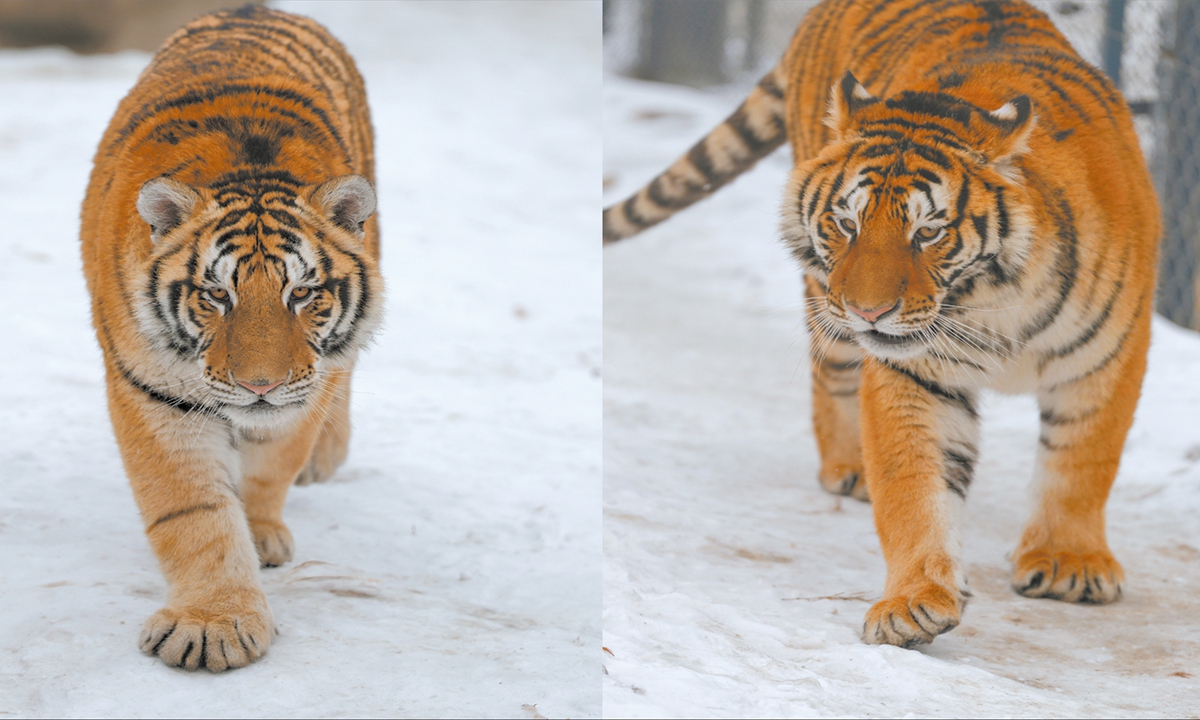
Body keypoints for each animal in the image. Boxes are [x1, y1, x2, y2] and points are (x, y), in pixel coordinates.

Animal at [80, 5, 382, 671]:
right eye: (217, 295)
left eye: (303, 294)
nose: (260, 386)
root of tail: (259, 8)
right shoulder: (153, 393)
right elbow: (193, 511)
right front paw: (212, 623)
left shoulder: (303, 390)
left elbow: (274, 462)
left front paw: (262, 531)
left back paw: (324, 458)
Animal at [604, 0, 1159, 647]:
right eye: (847, 223)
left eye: (929, 232)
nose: (868, 311)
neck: (994, 302)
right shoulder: (915, 374)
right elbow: (913, 486)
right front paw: (913, 602)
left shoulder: (1108, 354)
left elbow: (1083, 461)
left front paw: (1070, 564)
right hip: (825, 303)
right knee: (830, 374)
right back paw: (849, 466)